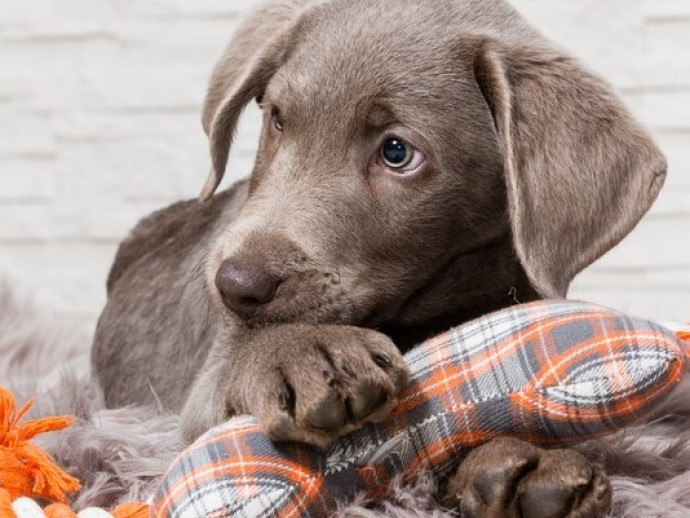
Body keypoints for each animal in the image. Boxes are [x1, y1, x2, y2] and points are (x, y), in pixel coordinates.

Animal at [90, 2, 660, 516]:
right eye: (277, 119)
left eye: (396, 152)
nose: (235, 284)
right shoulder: (199, 398)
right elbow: (242, 359)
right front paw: (301, 351)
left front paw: (533, 463)